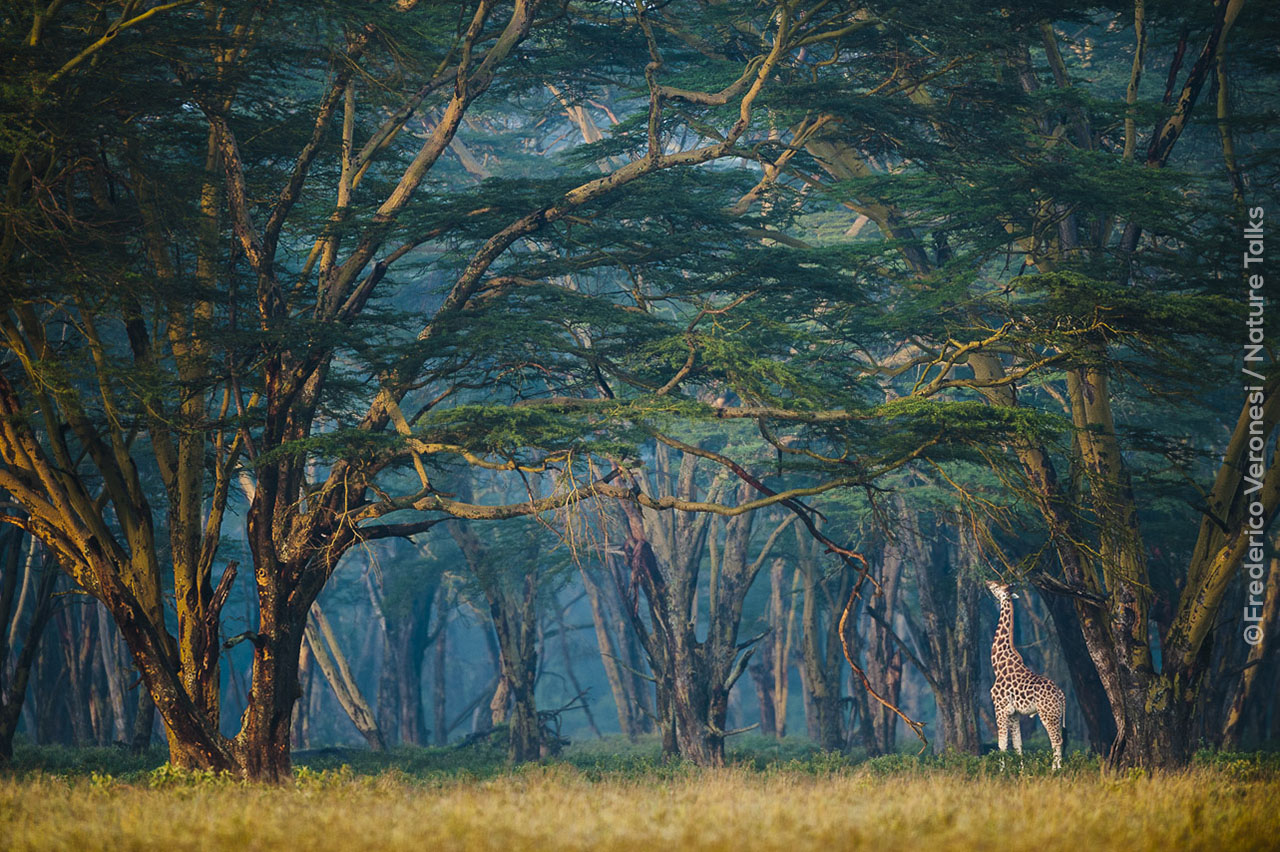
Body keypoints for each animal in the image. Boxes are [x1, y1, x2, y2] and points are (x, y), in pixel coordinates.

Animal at [983, 580, 1064, 767]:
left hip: (1047, 714)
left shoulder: (1000, 708)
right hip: (1055, 714)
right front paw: (1021, 770)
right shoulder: (1014, 714)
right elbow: (1018, 744)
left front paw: (1002, 771)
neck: (998, 665)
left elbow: (1002, 744)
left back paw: (1056, 770)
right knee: (1059, 740)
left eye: (996, 586)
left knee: (1056, 741)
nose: (987, 582)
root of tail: (1062, 695)